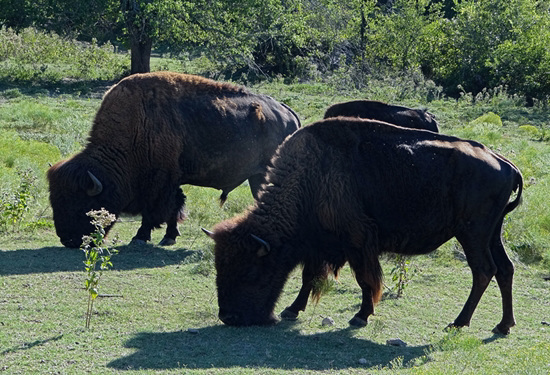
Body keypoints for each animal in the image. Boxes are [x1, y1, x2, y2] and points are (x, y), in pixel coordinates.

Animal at [47, 73, 302, 250]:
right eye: (55, 201)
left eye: (79, 203)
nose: (68, 240)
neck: (136, 126)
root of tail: (289, 113)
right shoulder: (172, 181)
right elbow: (175, 206)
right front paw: (169, 237)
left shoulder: (160, 183)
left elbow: (156, 210)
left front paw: (140, 237)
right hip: (258, 176)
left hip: (264, 175)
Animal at [206, 117, 520, 334]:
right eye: (220, 267)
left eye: (251, 271)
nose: (229, 317)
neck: (309, 176)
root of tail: (505, 164)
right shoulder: (319, 245)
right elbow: (310, 277)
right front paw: (292, 310)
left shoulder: (357, 242)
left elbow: (364, 279)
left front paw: (360, 316)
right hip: (492, 233)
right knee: (505, 269)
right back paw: (503, 326)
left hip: (472, 233)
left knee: (484, 270)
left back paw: (458, 323)